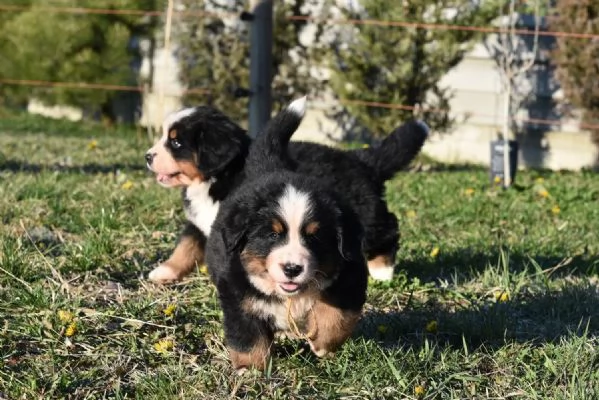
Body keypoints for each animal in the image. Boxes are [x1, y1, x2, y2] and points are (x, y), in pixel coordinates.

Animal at [144, 98, 426, 282]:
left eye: (176, 143)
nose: (147, 157)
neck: (218, 177)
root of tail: (362, 159)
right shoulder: (201, 222)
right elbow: (185, 246)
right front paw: (165, 271)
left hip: (364, 210)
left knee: (387, 227)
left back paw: (382, 271)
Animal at [204, 98, 368, 374]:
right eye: (272, 234)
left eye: (314, 237)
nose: (292, 268)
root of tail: (271, 167)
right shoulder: (238, 295)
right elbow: (248, 336)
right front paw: (251, 370)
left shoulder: (351, 276)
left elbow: (337, 316)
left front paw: (322, 343)